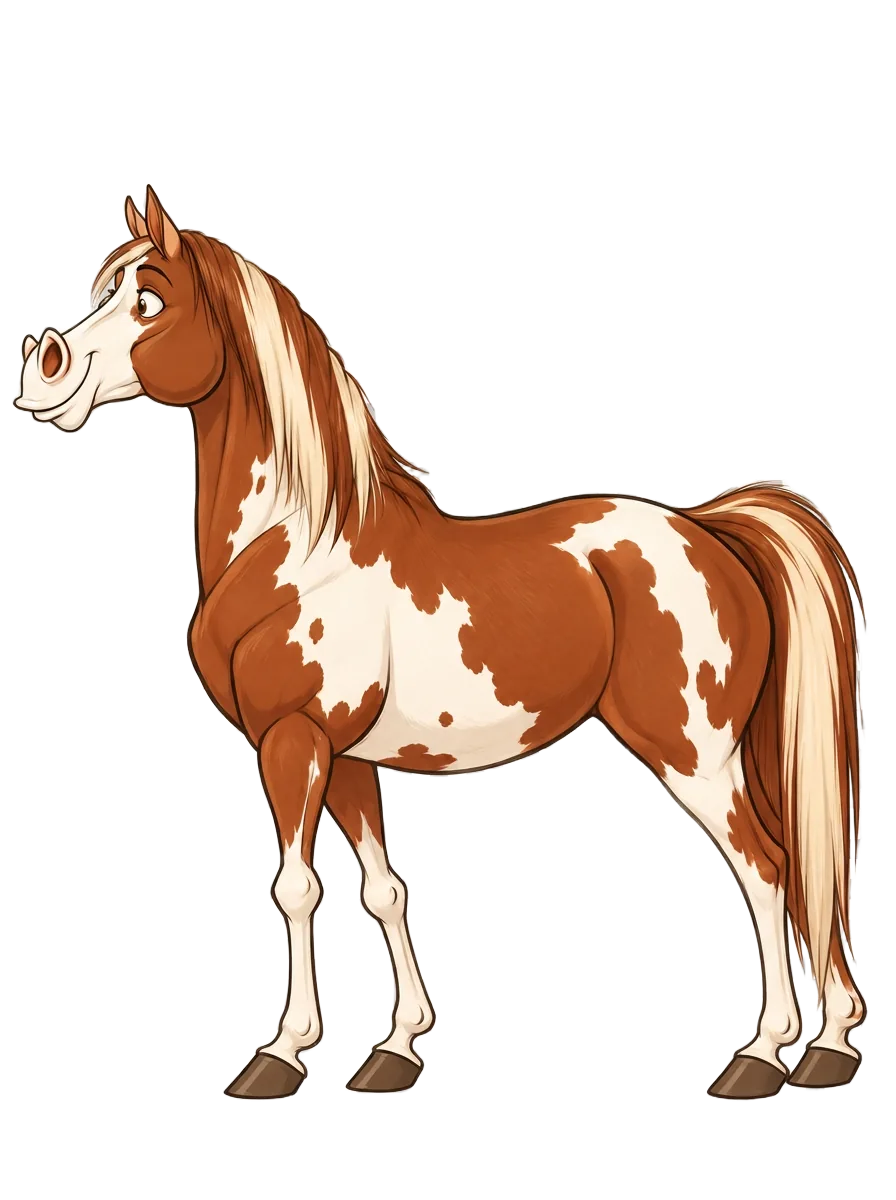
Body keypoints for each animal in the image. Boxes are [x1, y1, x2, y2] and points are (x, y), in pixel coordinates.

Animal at [14, 187, 866, 1101]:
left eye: (149, 300)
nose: (41, 372)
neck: (298, 547)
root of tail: (709, 530)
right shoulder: (345, 759)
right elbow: (382, 889)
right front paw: (397, 1046)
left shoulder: (290, 742)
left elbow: (295, 888)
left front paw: (280, 1053)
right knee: (795, 869)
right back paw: (831, 1044)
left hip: (692, 751)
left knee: (768, 868)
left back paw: (763, 1054)